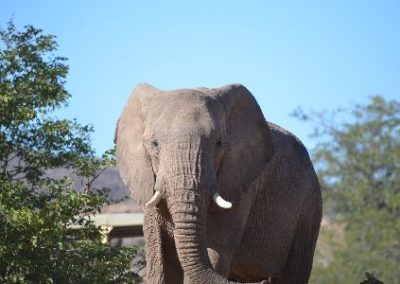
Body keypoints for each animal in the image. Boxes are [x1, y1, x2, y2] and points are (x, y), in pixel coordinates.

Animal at [115, 83, 322, 282]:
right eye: (154, 144)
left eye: (219, 143)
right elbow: (161, 261)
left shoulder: (240, 186)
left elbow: (215, 250)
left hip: (309, 210)